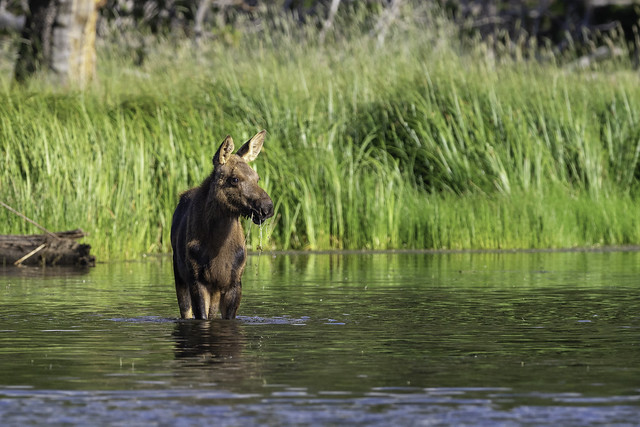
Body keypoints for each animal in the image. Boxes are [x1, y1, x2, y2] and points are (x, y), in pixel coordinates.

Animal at [170, 132, 272, 320]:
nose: (267, 207)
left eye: (258, 178)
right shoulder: (196, 279)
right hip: (179, 274)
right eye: (234, 179)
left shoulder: (234, 282)